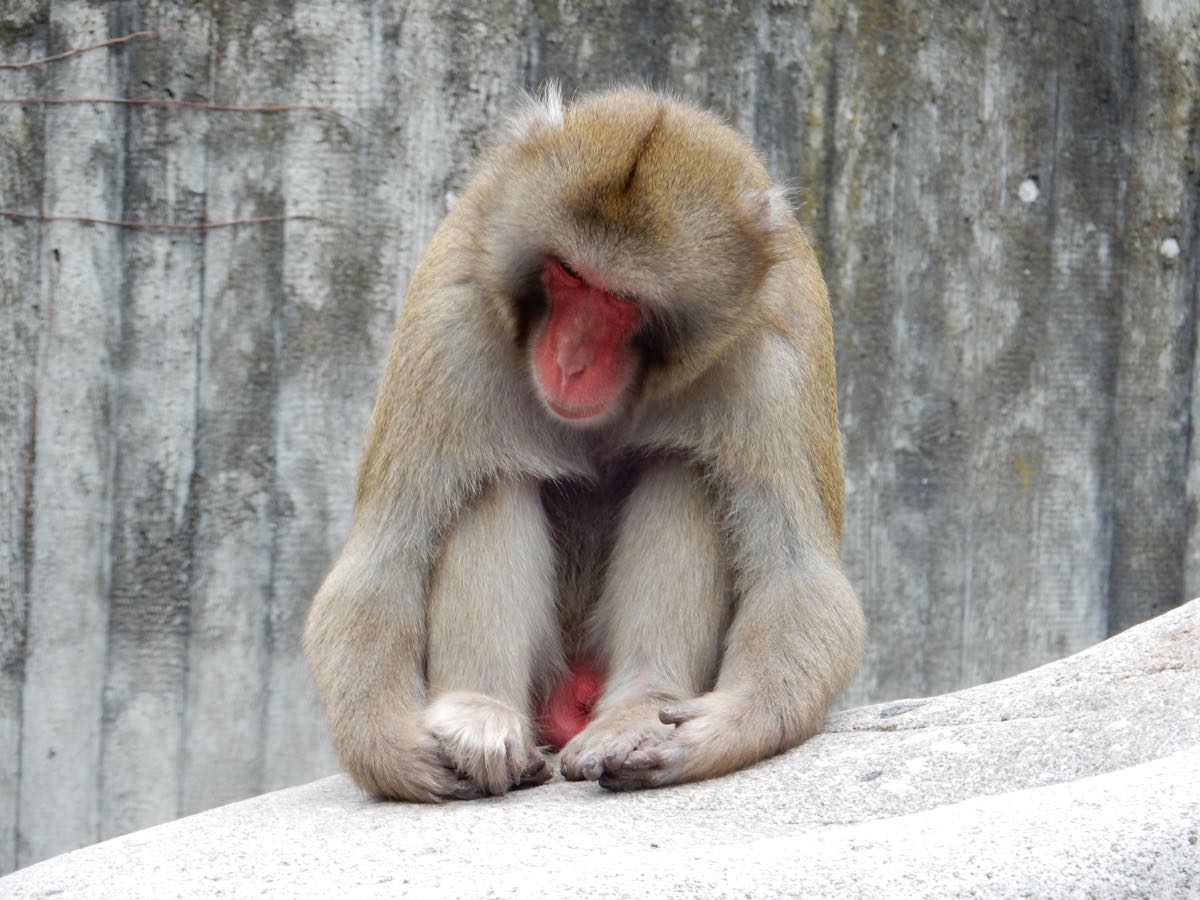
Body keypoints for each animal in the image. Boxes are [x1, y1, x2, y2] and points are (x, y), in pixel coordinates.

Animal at [304, 85, 865, 800]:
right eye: (569, 274)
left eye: (622, 299)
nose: (570, 361)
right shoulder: (449, 320)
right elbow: (382, 561)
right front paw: (393, 751)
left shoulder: (777, 356)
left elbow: (800, 580)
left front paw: (721, 731)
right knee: (491, 480)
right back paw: (481, 712)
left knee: (685, 470)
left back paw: (639, 705)